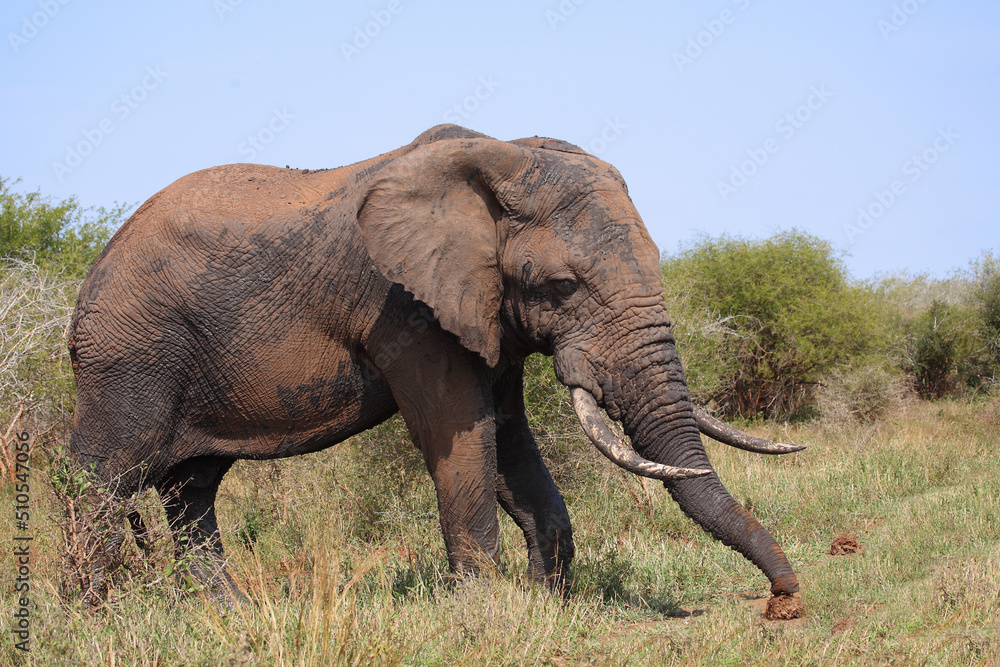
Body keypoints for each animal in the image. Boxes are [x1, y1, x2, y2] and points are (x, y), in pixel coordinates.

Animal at [68, 124, 803, 608]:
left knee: (189, 491)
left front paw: (548, 603)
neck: (503, 158)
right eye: (563, 287)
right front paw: (484, 617)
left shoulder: (485, 312)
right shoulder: (405, 307)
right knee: (104, 478)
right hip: (128, 355)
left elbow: (508, 439)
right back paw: (94, 617)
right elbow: (459, 433)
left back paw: (233, 617)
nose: (784, 600)